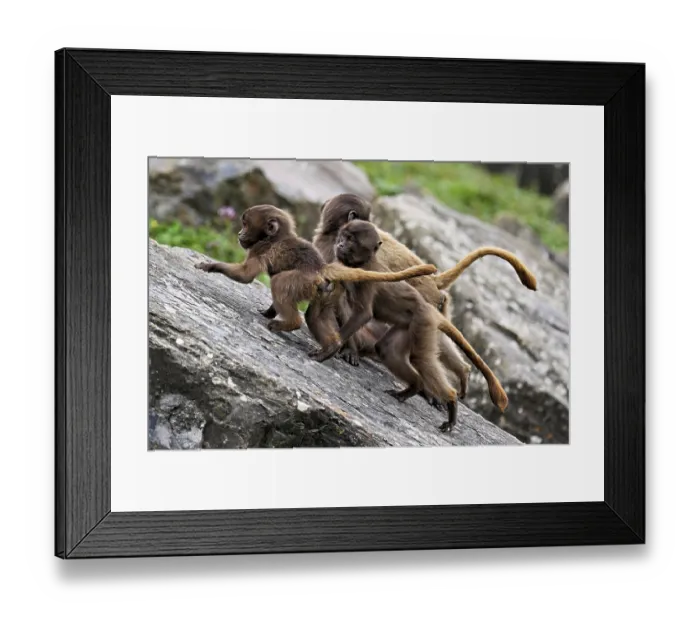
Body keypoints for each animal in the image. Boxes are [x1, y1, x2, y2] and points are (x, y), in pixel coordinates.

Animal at [194, 204, 438, 357]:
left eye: (245, 224)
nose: (239, 234)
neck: (276, 237)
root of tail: (321, 268)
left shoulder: (261, 250)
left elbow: (245, 276)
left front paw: (211, 266)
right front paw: (268, 311)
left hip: (302, 281)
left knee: (281, 284)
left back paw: (290, 324)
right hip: (326, 292)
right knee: (313, 315)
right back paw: (331, 348)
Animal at [311, 220, 510, 433]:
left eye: (350, 239)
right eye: (342, 237)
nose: (339, 244)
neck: (365, 262)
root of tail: (430, 310)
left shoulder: (367, 280)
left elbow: (363, 314)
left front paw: (330, 349)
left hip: (423, 323)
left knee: (421, 359)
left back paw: (450, 401)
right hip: (409, 326)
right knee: (388, 350)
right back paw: (414, 388)